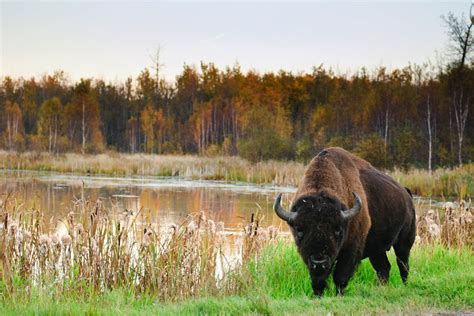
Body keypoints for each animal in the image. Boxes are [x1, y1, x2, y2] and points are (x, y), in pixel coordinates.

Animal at [274, 148, 414, 296]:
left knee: (403, 264)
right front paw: (318, 295)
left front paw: (338, 295)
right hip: (377, 250)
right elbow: (318, 280)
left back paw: (404, 285)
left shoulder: (350, 251)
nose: (319, 261)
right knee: (384, 268)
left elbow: (340, 277)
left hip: (404, 243)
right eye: (299, 229)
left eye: (337, 229)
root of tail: (406, 193)